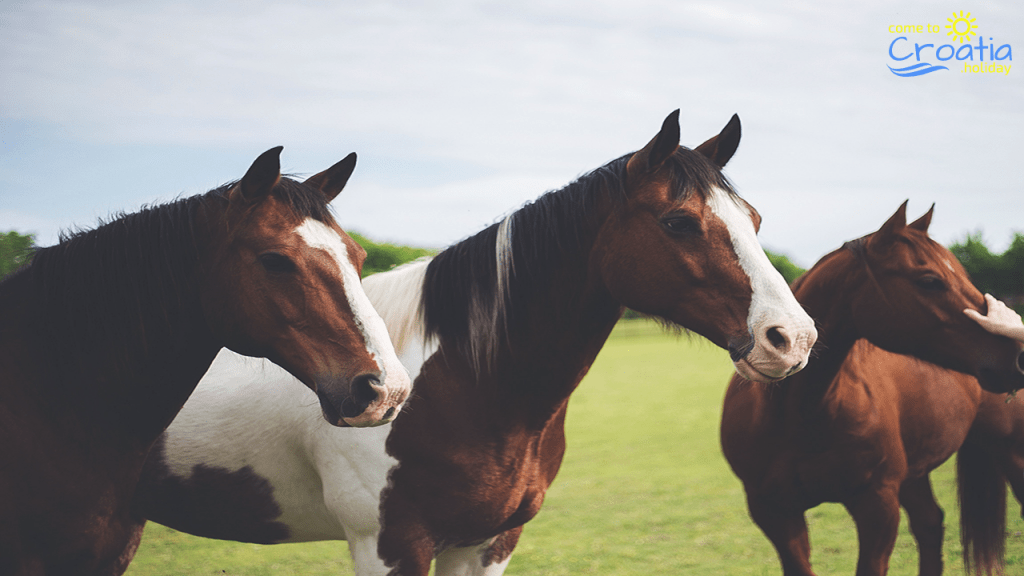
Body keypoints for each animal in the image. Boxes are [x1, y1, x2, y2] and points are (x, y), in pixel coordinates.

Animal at [130, 110, 819, 575]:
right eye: (678, 222)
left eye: (754, 219)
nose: (792, 338)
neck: (461, 384)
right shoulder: (388, 547)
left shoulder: (487, 544)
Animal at [720, 203, 1024, 576]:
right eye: (929, 280)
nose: (1016, 355)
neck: (800, 415)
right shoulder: (775, 514)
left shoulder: (878, 506)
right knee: (930, 525)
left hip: (1011, 453)